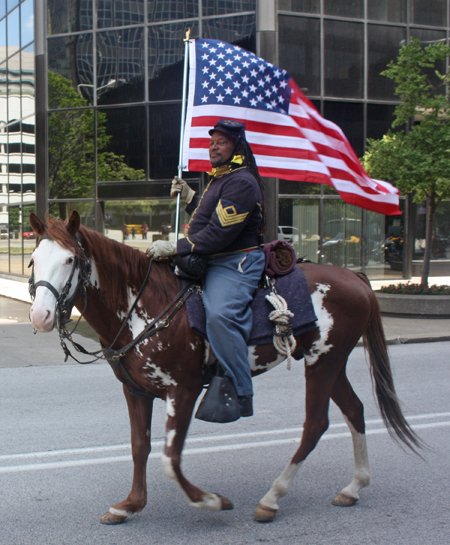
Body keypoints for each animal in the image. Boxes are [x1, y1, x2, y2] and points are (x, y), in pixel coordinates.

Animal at [29, 209, 422, 524]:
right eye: (33, 260)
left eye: (69, 260)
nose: (40, 315)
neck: (143, 307)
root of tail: (355, 277)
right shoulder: (136, 391)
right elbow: (140, 446)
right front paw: (130, 505)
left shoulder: (183, 391)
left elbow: (171, 458)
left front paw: (210, 501)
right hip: (329, 362)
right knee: (354, 410)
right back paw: (354, 487)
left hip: (323, 364)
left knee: (316, 425)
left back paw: (272, 498)